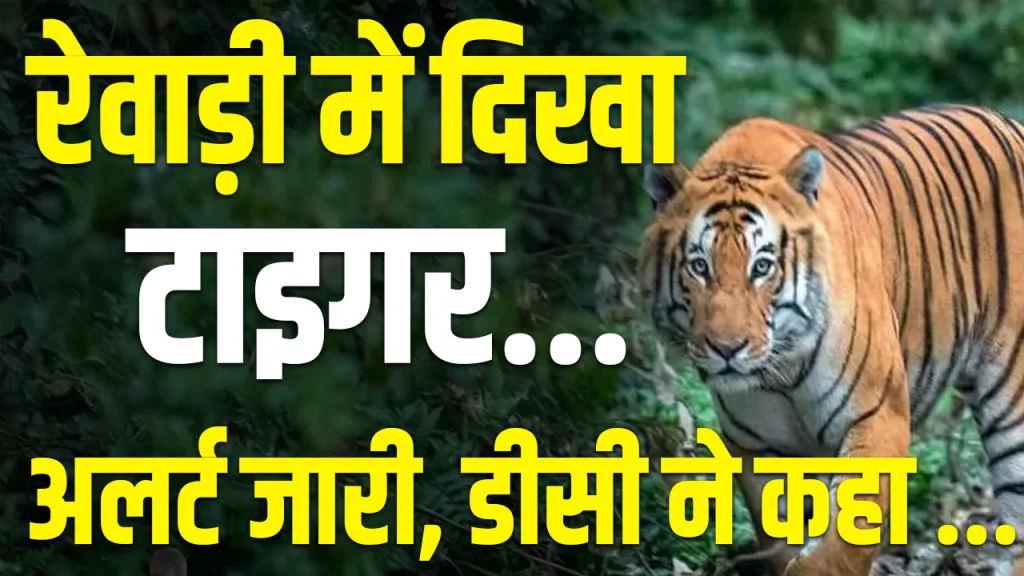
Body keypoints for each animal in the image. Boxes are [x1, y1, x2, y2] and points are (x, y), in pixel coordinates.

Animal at [638, 104, 1024, 576]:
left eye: (762, 266)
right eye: (699, 266)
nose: (727, 349)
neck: (782, 370)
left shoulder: (879, 417)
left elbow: (841, 547)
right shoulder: (755, 444)